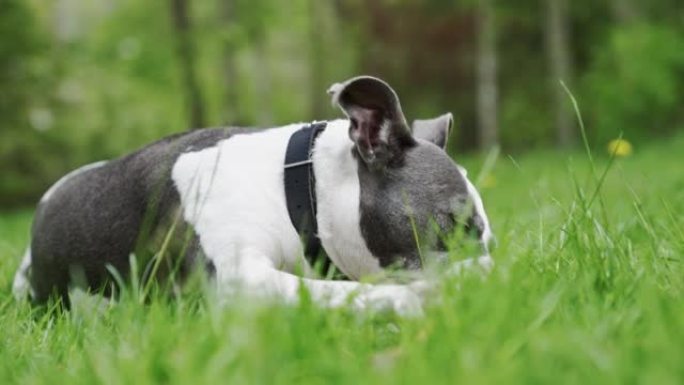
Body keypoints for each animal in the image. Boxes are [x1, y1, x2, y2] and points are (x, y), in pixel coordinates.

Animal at [12, 76, 492, 316]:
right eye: (454, 226)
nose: (491, 274)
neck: (299, 188)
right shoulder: (236, 280)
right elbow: (335, 294)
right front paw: (418, 299)